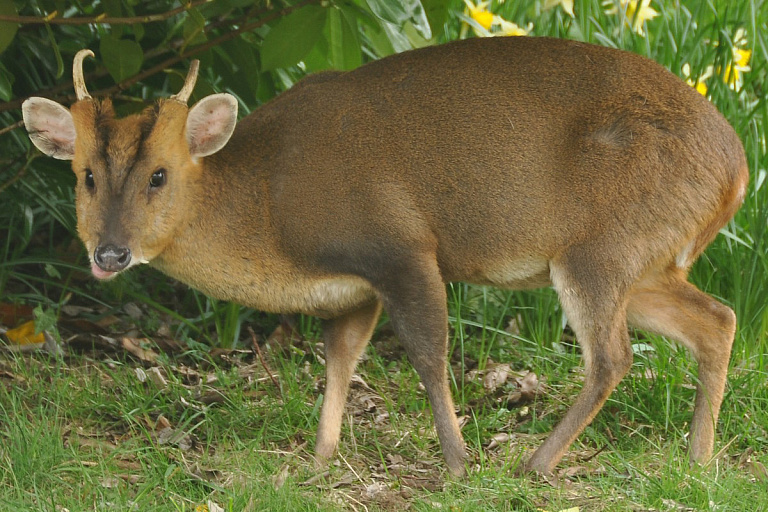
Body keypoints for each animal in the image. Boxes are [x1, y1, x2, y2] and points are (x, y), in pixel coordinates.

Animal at [22, 37, 744, 476]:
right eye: (85, 175)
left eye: (160, 175)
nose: (110, 253)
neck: (271, 207)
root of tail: (736, 171)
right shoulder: (353, 290)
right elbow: (339, 363)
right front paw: (319, 459)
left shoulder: (400, 245)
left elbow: (427, 353)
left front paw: (456, 462)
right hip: (649, 261)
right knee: (719, 318)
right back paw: (698, 460)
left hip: (602, 247)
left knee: (613, 355)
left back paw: (537, 464)